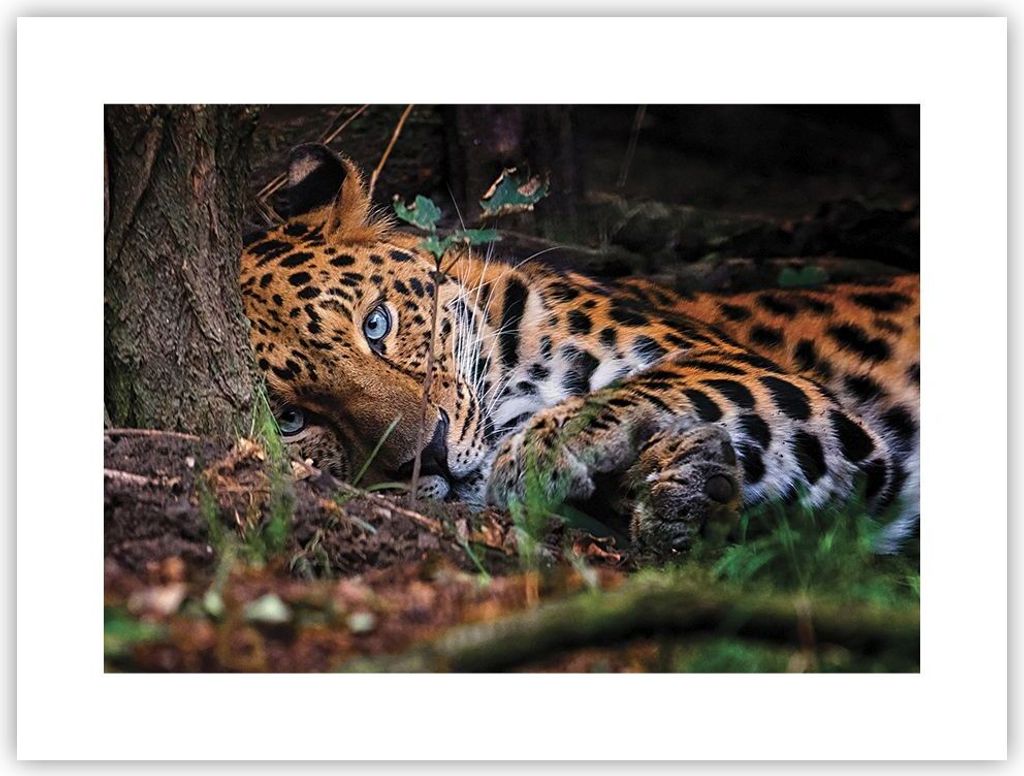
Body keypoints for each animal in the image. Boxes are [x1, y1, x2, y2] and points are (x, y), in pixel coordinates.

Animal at [239, 143, 920, 556]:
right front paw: (686, 493)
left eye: (377, 325)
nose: (427, 455)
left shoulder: (758, 374)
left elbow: (660, 382)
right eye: (292, 421)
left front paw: (542, 449)